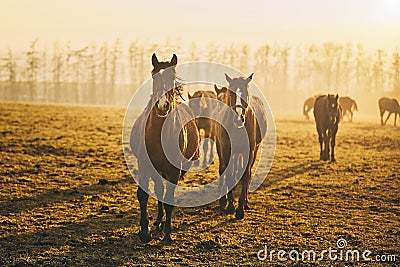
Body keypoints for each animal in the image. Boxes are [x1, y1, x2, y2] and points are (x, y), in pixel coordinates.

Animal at [131, 53, 200, 244]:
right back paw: (158, 222)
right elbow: (144, 195)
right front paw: (144, 230)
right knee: (158, 190)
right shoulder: (145, 165)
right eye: (154, 77)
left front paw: (167, 234)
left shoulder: (174, 171)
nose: (162, 106)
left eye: (171, 78)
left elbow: (168, 199)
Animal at [214, 74, 268, 220]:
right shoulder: (226, 150)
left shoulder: (248, 151)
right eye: (231, 93)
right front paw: (230, 206)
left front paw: (240, 209)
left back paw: (245, 202)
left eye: (245, 93)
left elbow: (245, 176)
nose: (239, 118)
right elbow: (229, 174)